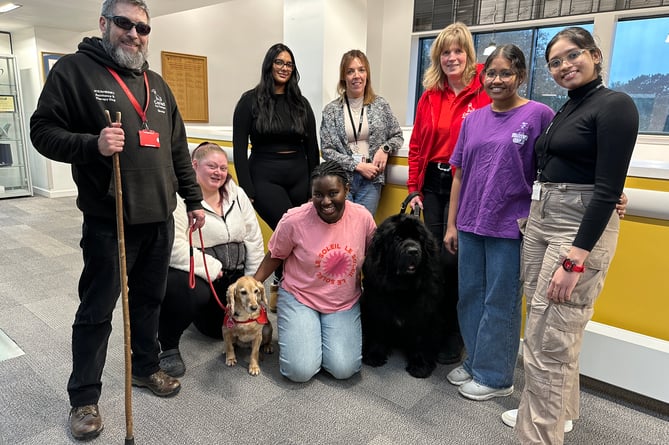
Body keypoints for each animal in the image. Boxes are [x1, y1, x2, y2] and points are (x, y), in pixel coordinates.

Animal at [358, 212, 446, 378]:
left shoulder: (424, 313)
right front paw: (374, 355)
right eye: (397, 238)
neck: (402, 287)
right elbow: (378, 332)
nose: (413, 251)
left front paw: (420, 365)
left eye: (419, 239)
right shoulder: (378, 306)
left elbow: (420, 339)